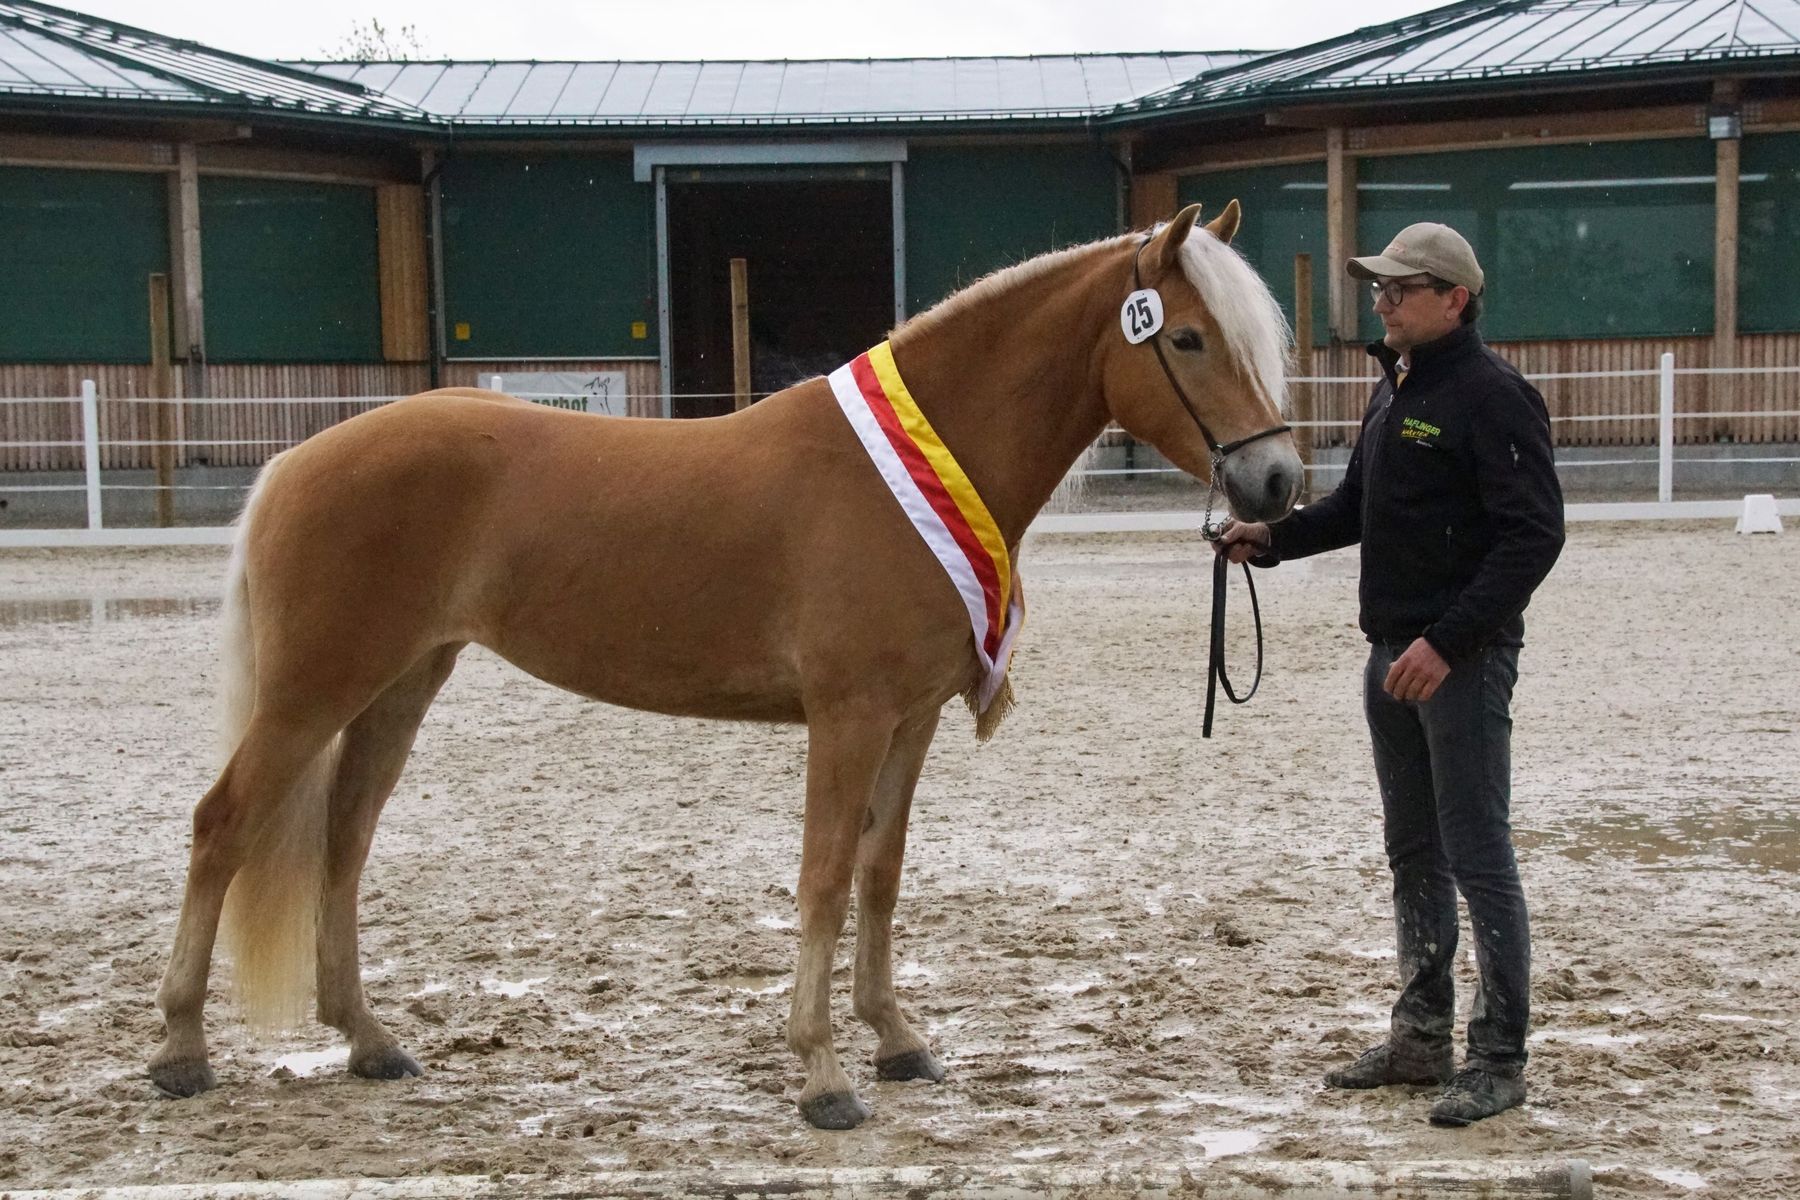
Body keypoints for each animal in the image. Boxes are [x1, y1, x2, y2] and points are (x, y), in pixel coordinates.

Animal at [144, 201, 1296, 1129]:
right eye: (1187, 336)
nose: (1277, 481)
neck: (915, 471)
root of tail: (297, 462)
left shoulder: (912, 719)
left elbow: (881, 873)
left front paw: (898, 1039)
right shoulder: (848, 716)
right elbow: (824, 877)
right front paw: (823, 1075)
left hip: (399, 686)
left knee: (345, 840)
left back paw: (370, 1041)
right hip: (315, 691)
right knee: (222, 826)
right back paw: (181, 1051)